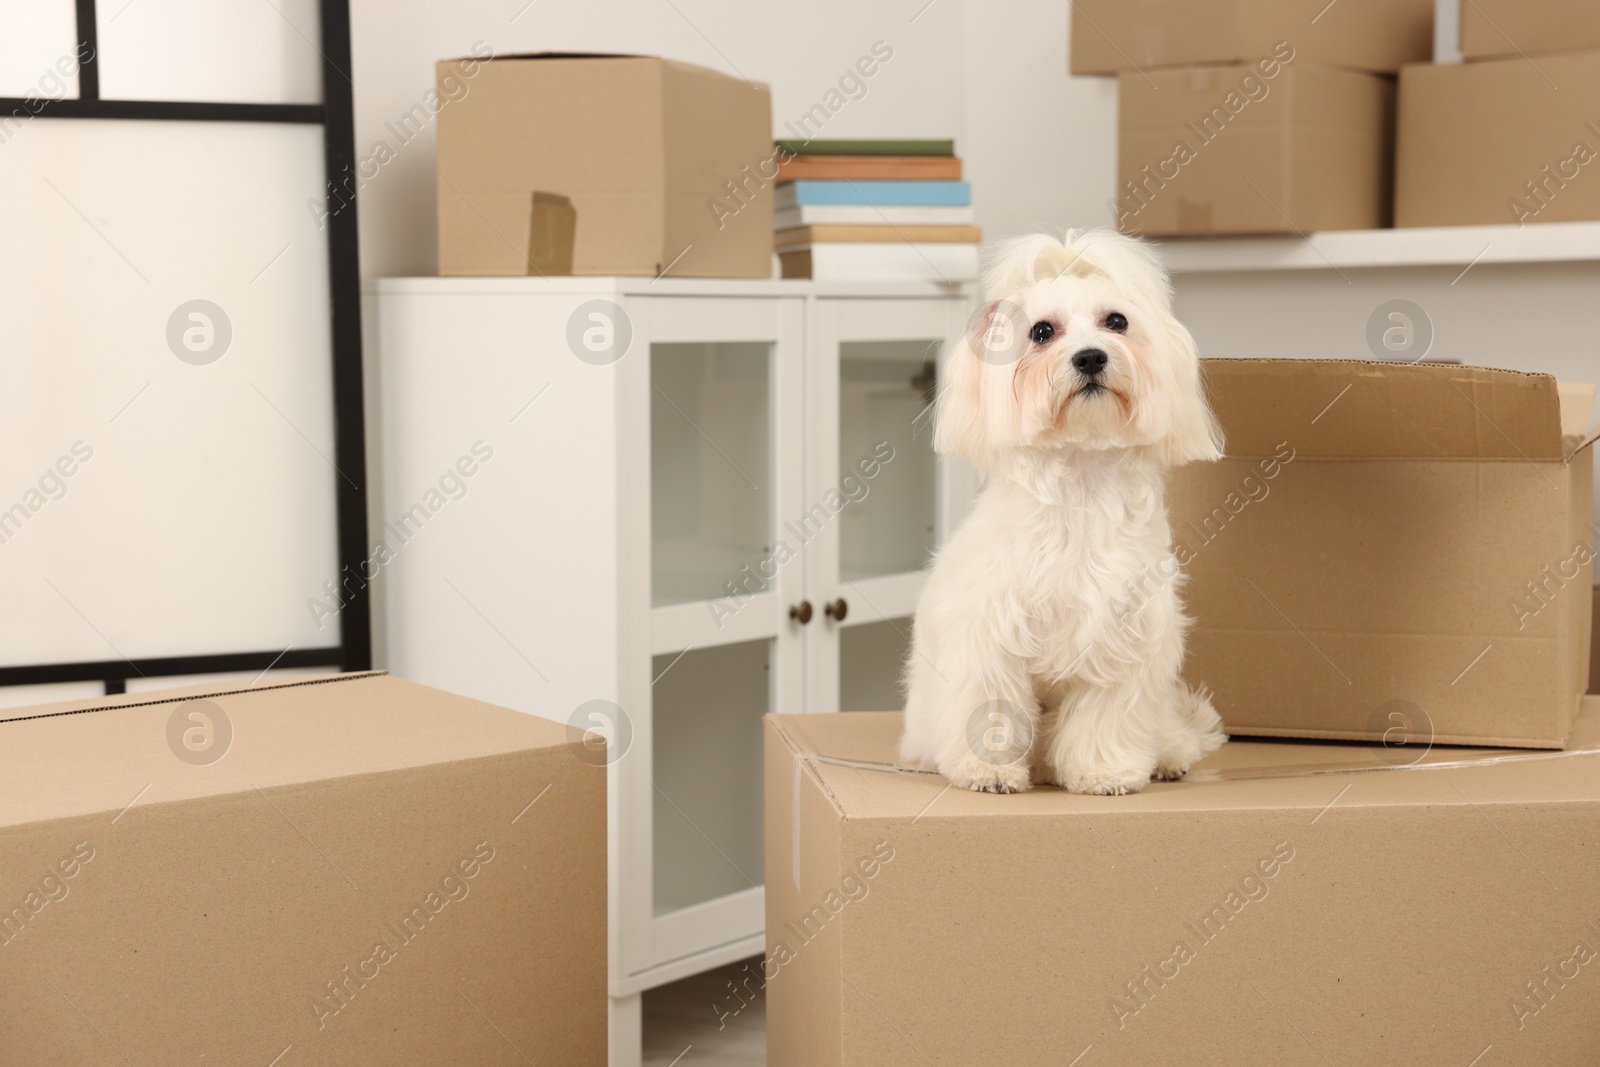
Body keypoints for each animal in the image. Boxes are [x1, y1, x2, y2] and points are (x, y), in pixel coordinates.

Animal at [908, 235, 1228, 799]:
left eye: (1116, 322)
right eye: (1042, 331)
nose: (1091, 356)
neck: (1079, 487)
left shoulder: (1124, 640)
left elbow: (1105, 717)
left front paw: (1105, 772)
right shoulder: (987, 636)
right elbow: (990, 703)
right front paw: (988, 770)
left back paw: (1168, 755)